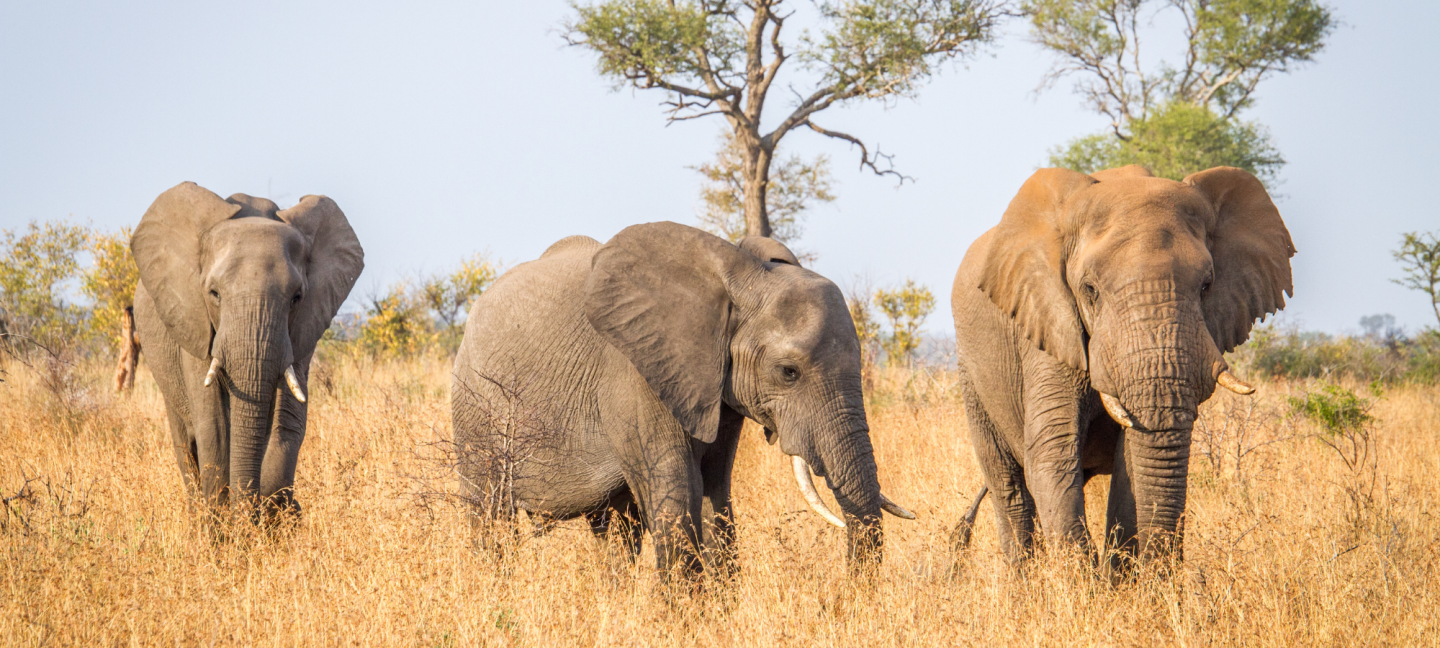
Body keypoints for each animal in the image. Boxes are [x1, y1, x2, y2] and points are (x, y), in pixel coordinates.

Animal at [131, 180, 365, 521]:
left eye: (297, 297)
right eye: (213, 293)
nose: (246, 514)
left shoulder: (302, 331)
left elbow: (287, 420)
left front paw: (273, 517)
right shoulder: (194, 320)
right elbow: (213, 424)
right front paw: (224, 527)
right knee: (185, 443)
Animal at [455, 223, 915, 581]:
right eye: (789, 372)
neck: (741, 276)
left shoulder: (719, 390)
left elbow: (715, 492)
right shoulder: (635, 374)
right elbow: (676, 494)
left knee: (614, 530)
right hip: (475, 407)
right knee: (490, 513)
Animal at [950, 165, 1301, 567]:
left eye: (1206, 286)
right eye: (1090, 290)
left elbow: (1130, 464)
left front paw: (1122, 577)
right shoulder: (1047, 326)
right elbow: (1052, 454)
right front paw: (1084, 579)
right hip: (971, 371)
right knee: (1010, 488)